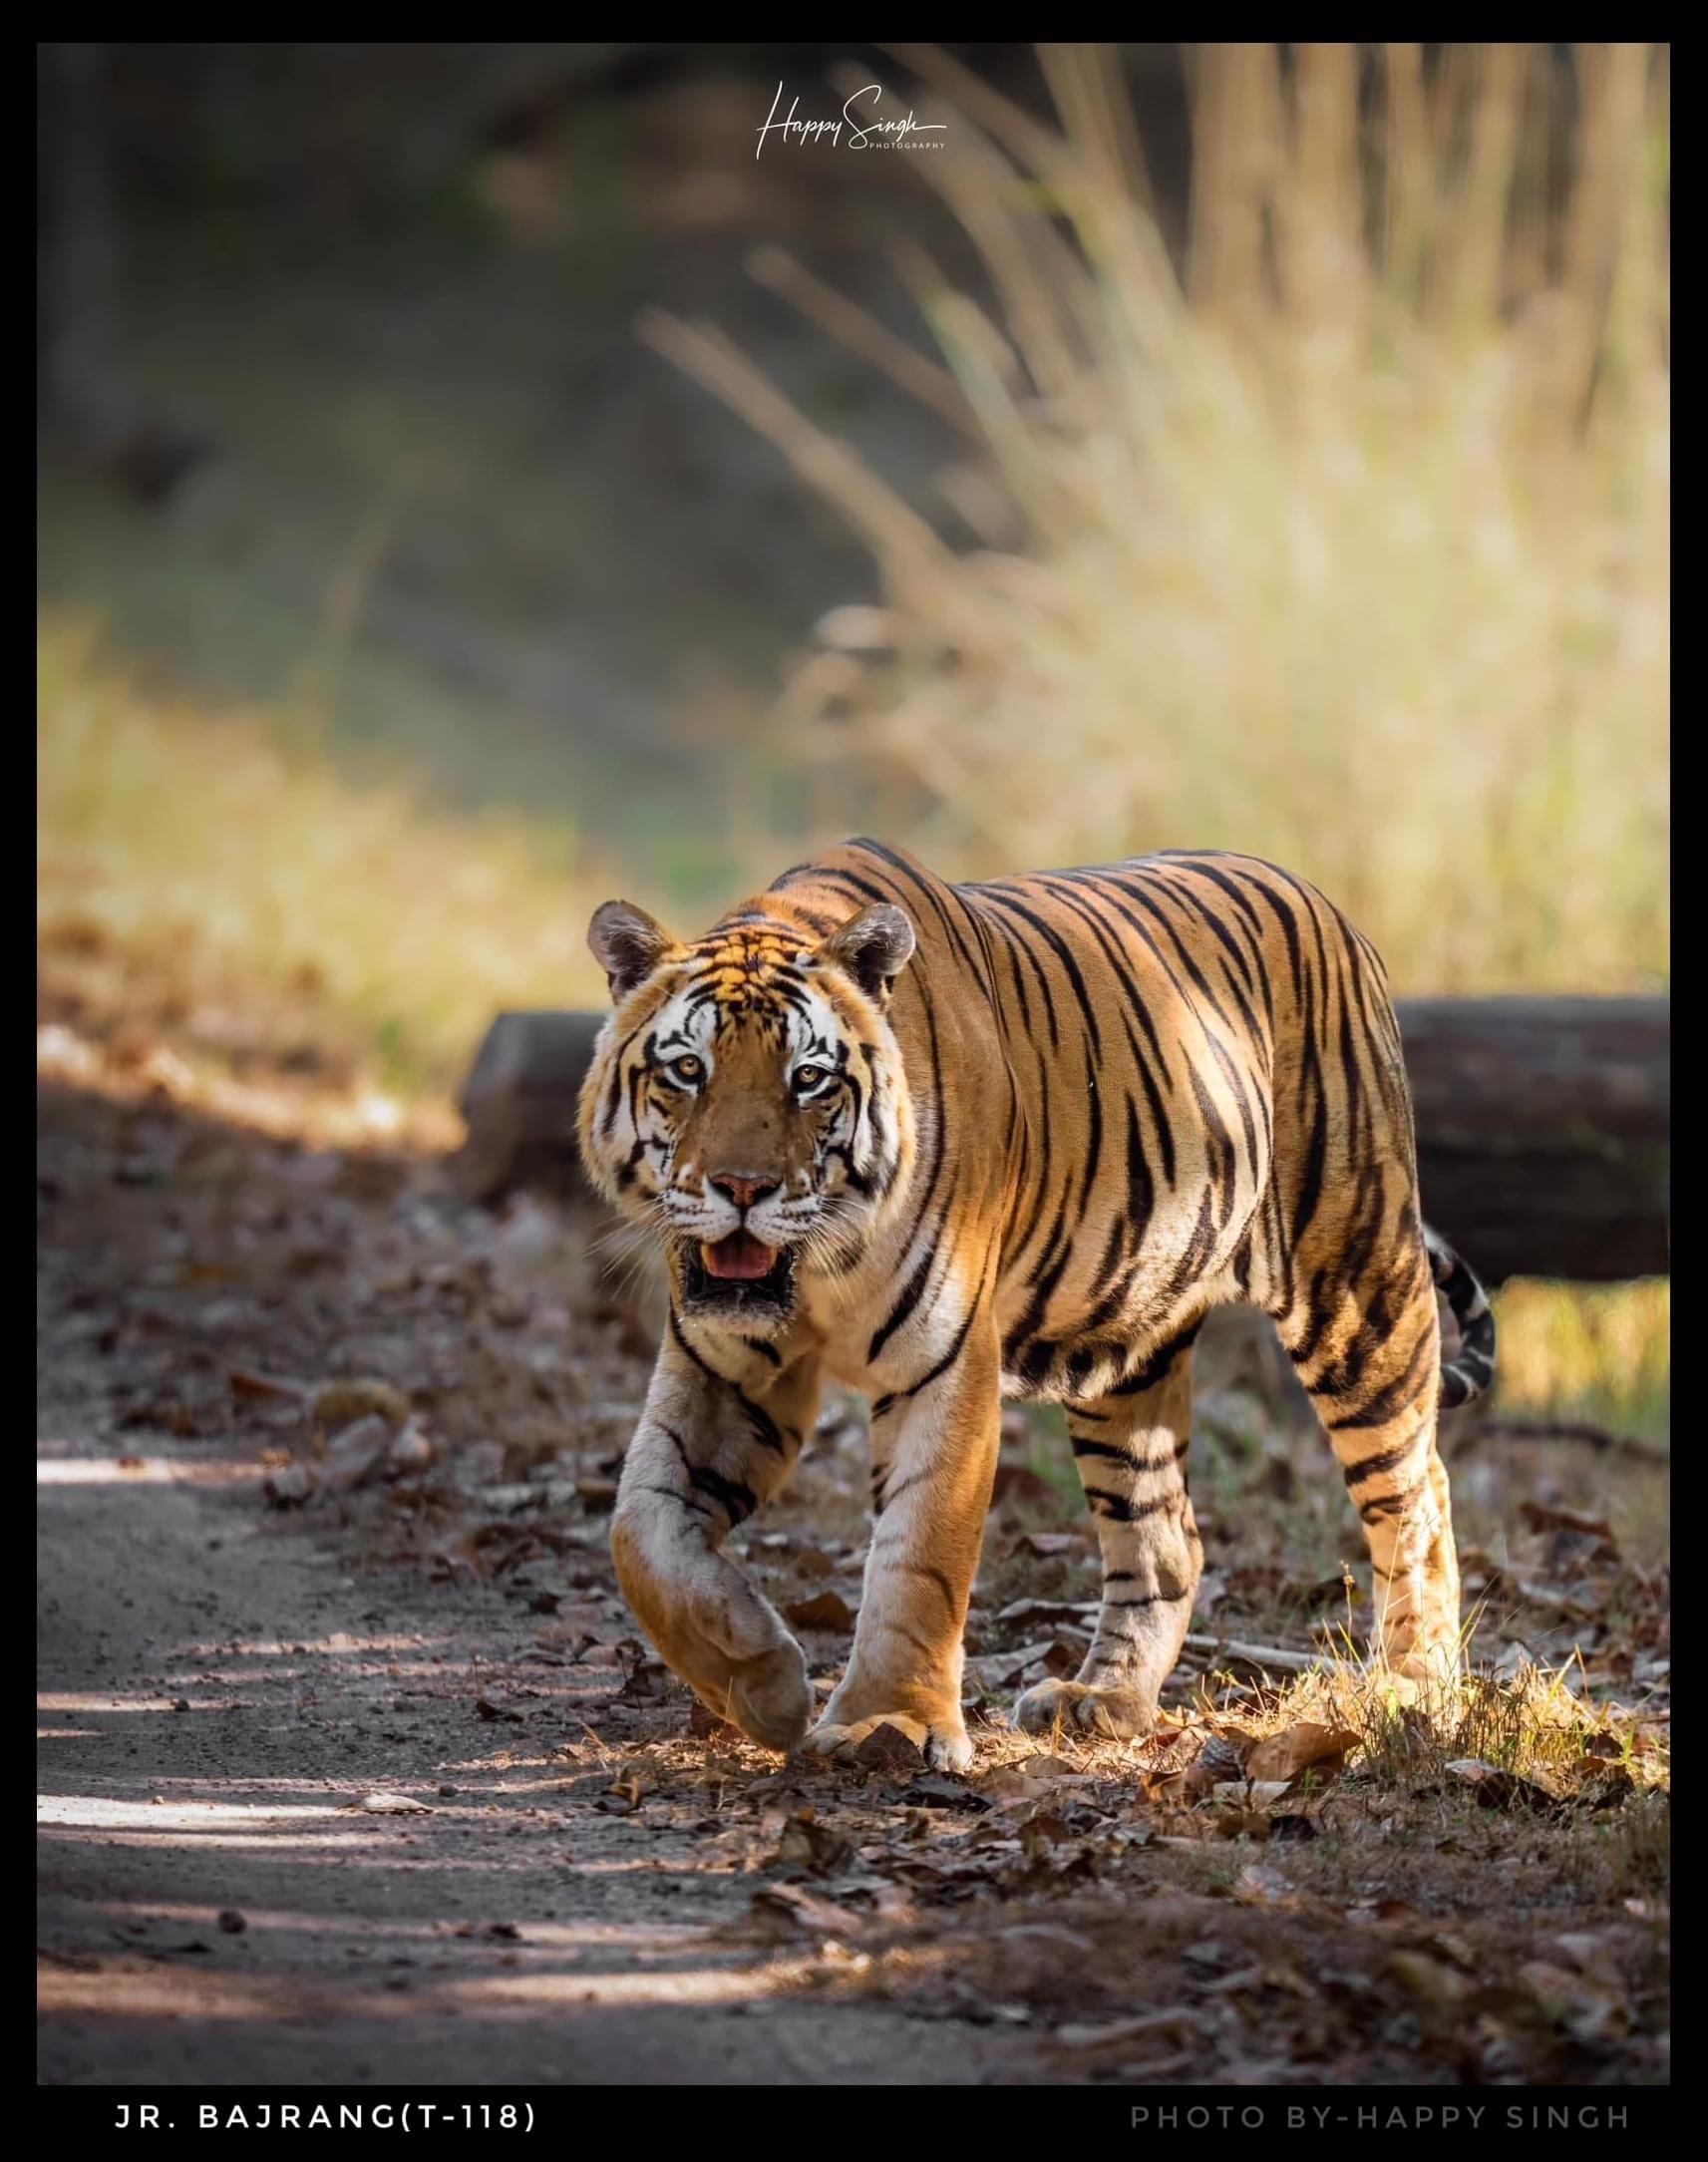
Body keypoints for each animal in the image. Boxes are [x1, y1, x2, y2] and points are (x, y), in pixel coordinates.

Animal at [577, 838, 1496, 1770]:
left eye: (809, 1080)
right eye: (687, 1071)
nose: (741, 1189)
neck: (821, 1267)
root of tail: (1324, 904)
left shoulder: (943, 1363)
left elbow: (919, 1553)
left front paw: (888, 1724)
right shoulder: (720, 1365)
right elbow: (640, 1532)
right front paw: (762, 1685)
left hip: (1356, 1289)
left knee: (1417, 1490)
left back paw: (1414, 1690)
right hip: (1127, 1353)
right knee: (1167, 1534)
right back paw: (1105, 1700)